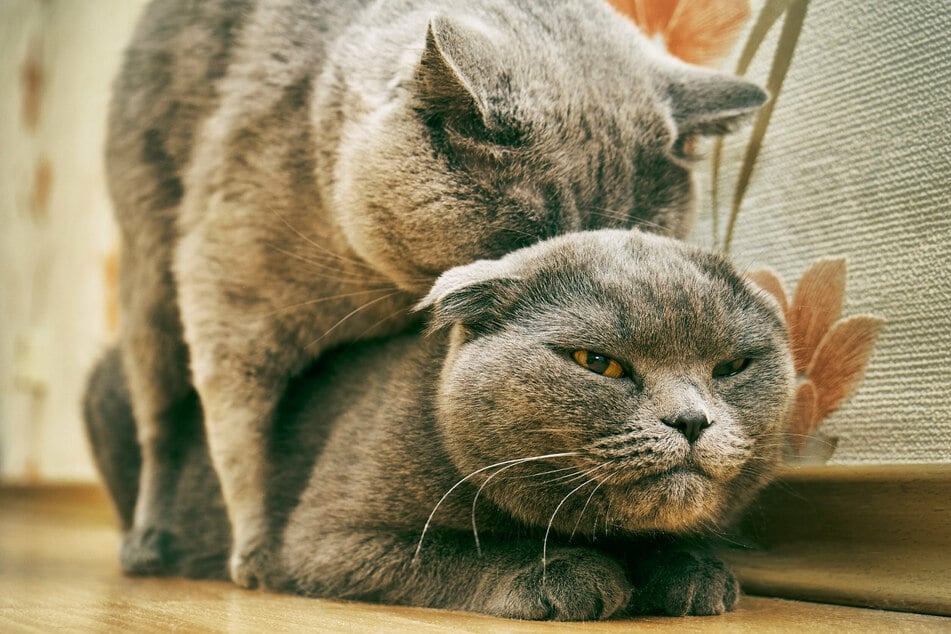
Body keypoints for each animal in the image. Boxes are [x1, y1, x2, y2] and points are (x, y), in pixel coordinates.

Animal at [85, 228, 796, 616]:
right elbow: (457, 549)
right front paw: (565, 573)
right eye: (598, 363)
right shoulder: (326, 540)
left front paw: (691, 570)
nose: (691, 420)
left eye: (733, 366)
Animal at [109, 0, 768, 584]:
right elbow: (242, 438)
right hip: (149, 280)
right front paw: (259, 552)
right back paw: (150, 542)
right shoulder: (230, 295)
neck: (379, 290)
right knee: (161, 424)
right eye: (527, 239)